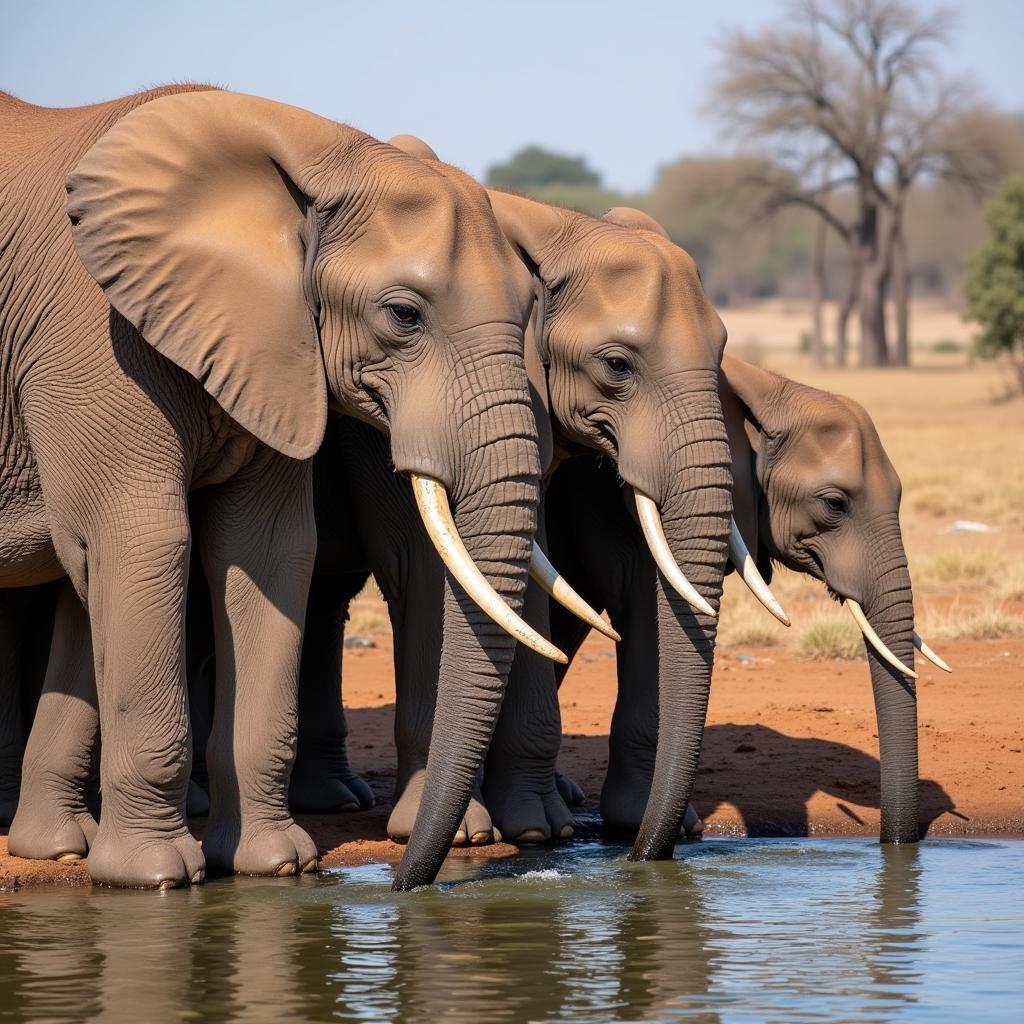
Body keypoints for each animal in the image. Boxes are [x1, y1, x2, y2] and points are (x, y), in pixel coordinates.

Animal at [0, 88, 552, 888]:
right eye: (403, 314)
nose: (403, 881)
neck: (312, 157)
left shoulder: (273, 353)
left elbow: (266, 551)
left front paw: (275, 867)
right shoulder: (94, 340)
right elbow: (147, 542)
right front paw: (159, 877)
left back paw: (59, 848)